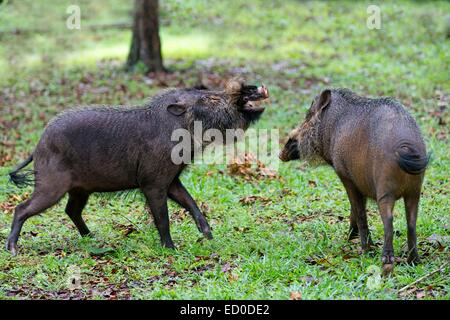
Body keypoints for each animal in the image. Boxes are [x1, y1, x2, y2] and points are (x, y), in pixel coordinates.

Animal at [6, 79, 268, 255]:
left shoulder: (171, 179)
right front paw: (171, 249)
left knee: (71, 210)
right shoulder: (152, 181)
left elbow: (190, 201)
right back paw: (12, 249)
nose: (256, 88)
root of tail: (37, 146)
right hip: (51, 185)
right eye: (208, 99)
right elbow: (162, 217)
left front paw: (208, 235)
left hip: (80, 189)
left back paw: (93, 237)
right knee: (21, 208)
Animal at [280, 89, 430, 274]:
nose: (281, 153)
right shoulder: (359, 182)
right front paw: (352, 238)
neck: (331, 126)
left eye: (309, 115)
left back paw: (386, 260)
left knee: (388, 220)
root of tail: (407, 145)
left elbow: (358, 211)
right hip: (415, 191)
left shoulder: (346, 176)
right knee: (412, 222)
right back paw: (414, 261)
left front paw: (364, 248)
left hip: (385, 191)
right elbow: (357, 208)